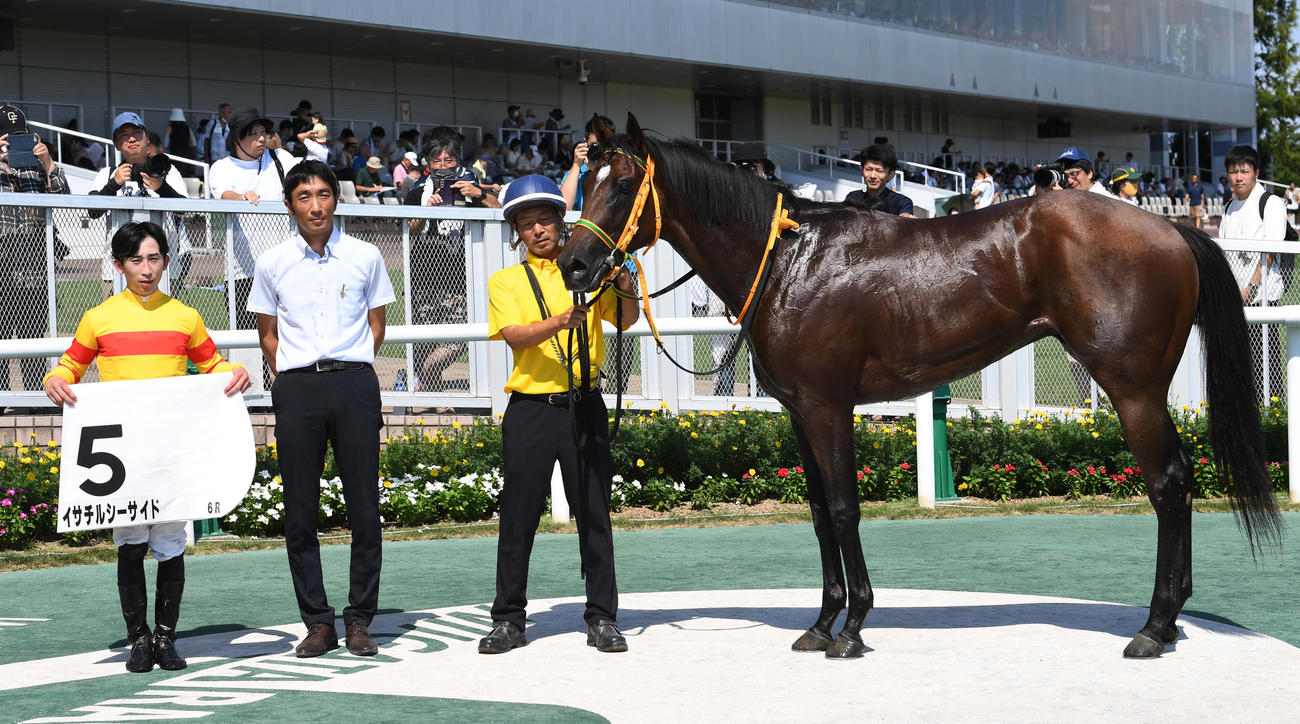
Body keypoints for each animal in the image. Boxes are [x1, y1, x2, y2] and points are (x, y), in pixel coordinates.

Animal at [557, 113, 1281, 659]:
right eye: (584, 179)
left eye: (624, 183)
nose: (574, 265)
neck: (789, 259)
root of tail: (1174, 228)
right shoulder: (797, 412)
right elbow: (817, 514)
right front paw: (820, 623)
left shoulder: (828, 407)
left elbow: (843, 510)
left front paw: (852, 629)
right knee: (1178, 480)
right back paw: (1173, 619)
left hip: (1132, 390)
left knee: (1167, 485)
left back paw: (1154, 628)